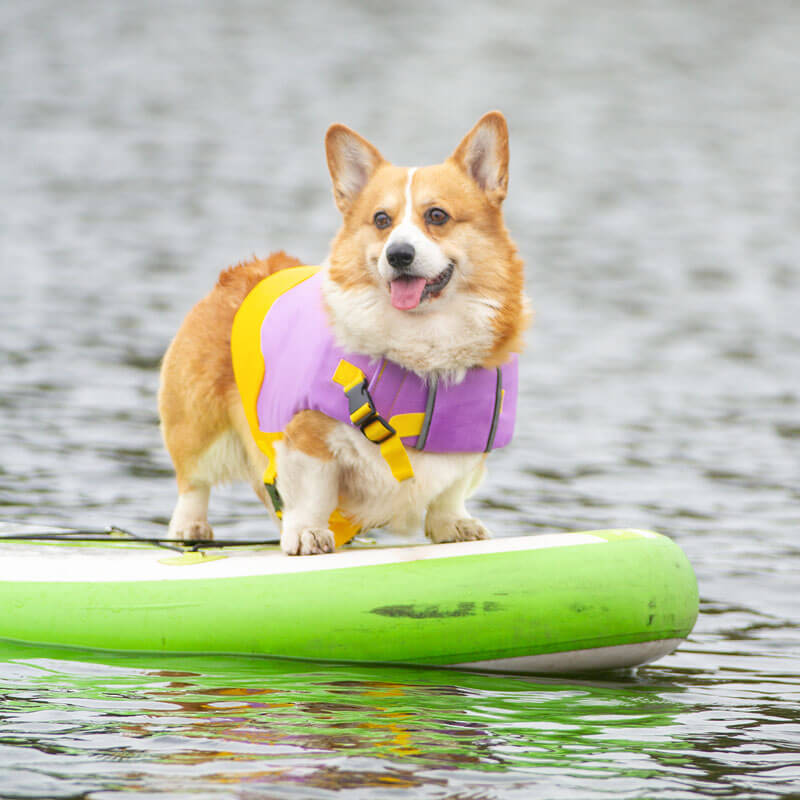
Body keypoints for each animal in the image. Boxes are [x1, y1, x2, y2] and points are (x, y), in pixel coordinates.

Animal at [159, 111, 528, 556]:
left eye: (437, 216)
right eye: (382, 220)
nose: (398, 255)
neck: (423, 348)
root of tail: (244, 270)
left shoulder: (467, 453)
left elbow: (450, 492)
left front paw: (454, 524)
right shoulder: (308, 437)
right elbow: (311, 493)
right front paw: (306, 533)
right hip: (197, 425)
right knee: (192, 483)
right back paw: (190, 527)